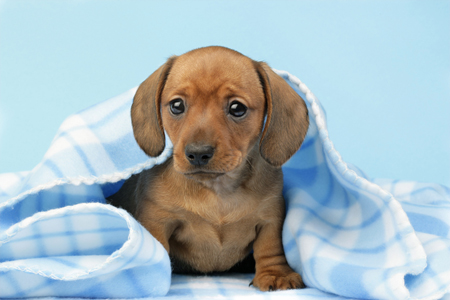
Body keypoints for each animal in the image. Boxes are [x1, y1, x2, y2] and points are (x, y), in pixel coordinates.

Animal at [109, 46, 310, 290]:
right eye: (177, 105)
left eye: (237, 108)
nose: (198, 153)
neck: (217, 190)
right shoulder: (157, 219)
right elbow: (156, 245)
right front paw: (149, 272)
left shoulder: (270, 217)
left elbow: (270, 245)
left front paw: (275, 273)